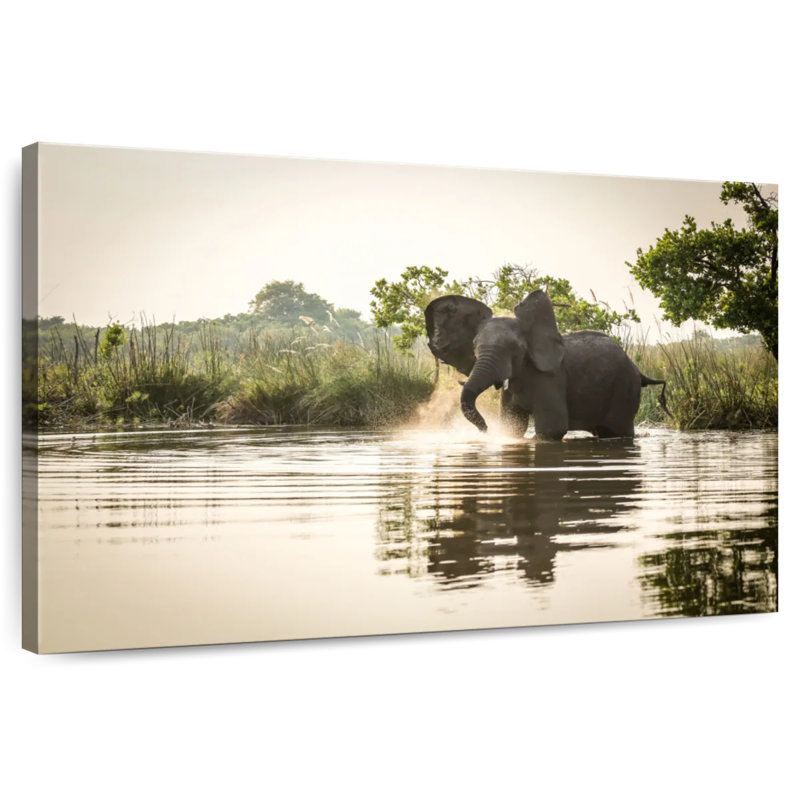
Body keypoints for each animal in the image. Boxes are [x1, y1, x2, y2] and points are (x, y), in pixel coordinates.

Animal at [424, 290, 669, 440]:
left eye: (515, 348)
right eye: (474, 347)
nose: (485, 429)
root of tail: (638, 370)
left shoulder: (552, 378)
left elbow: (551, 430)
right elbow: (514, 427)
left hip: (625, 389)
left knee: (617, 430)